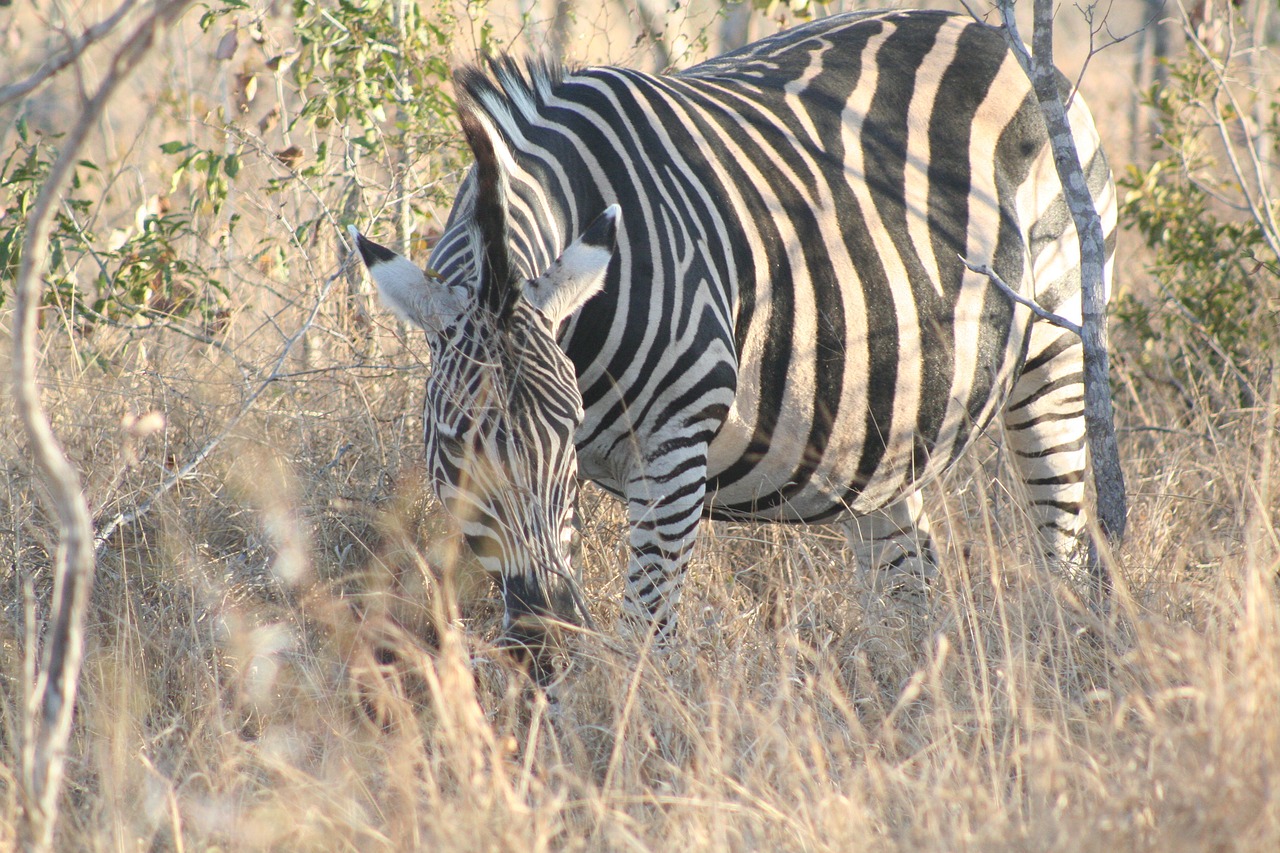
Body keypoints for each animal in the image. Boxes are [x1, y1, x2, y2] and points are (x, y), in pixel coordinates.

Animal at [353, 6, 1121, 671]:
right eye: (454, 442)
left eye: (567, 432)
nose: (548, 629)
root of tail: (981, 30)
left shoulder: (673, 443)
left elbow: (646, 638)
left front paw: (631, 741)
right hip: (886, 414)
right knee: (909, 582)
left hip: (1057, 345)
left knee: (1060, 540)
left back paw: (1059, 662)